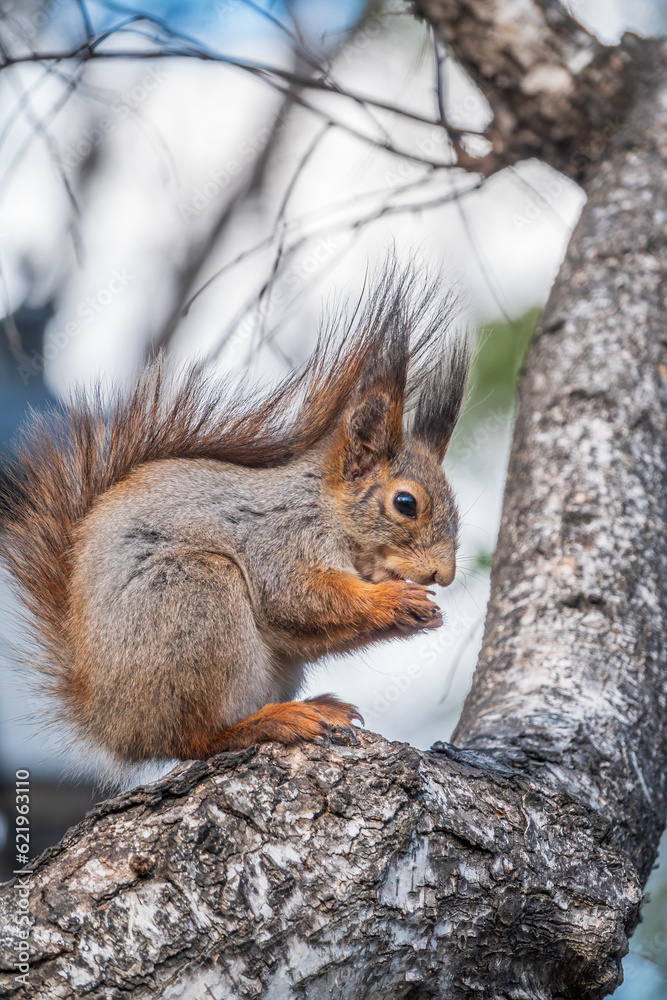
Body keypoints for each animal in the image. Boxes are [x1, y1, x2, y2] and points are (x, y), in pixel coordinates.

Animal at [0, 266, 469, 767]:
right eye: (406, 503)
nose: (443, 575)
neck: (327, 510)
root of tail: (110, 721)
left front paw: (421, 613)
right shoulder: (279, 537)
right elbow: (298, 598)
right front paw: (396, 599)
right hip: (194, 597)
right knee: (192, 739)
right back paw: (270, 721)